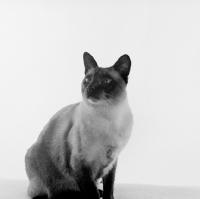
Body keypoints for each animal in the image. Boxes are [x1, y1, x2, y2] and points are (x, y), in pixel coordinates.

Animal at [25, 52, 134, 198]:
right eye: (88, 80)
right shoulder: (81, 164)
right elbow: (91, 192)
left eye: (106, 81)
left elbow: (109, 188)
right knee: (53, 193)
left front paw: (105, 195)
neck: (109, 118)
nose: (90, 88)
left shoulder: (112, 162)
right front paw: (96, 194)